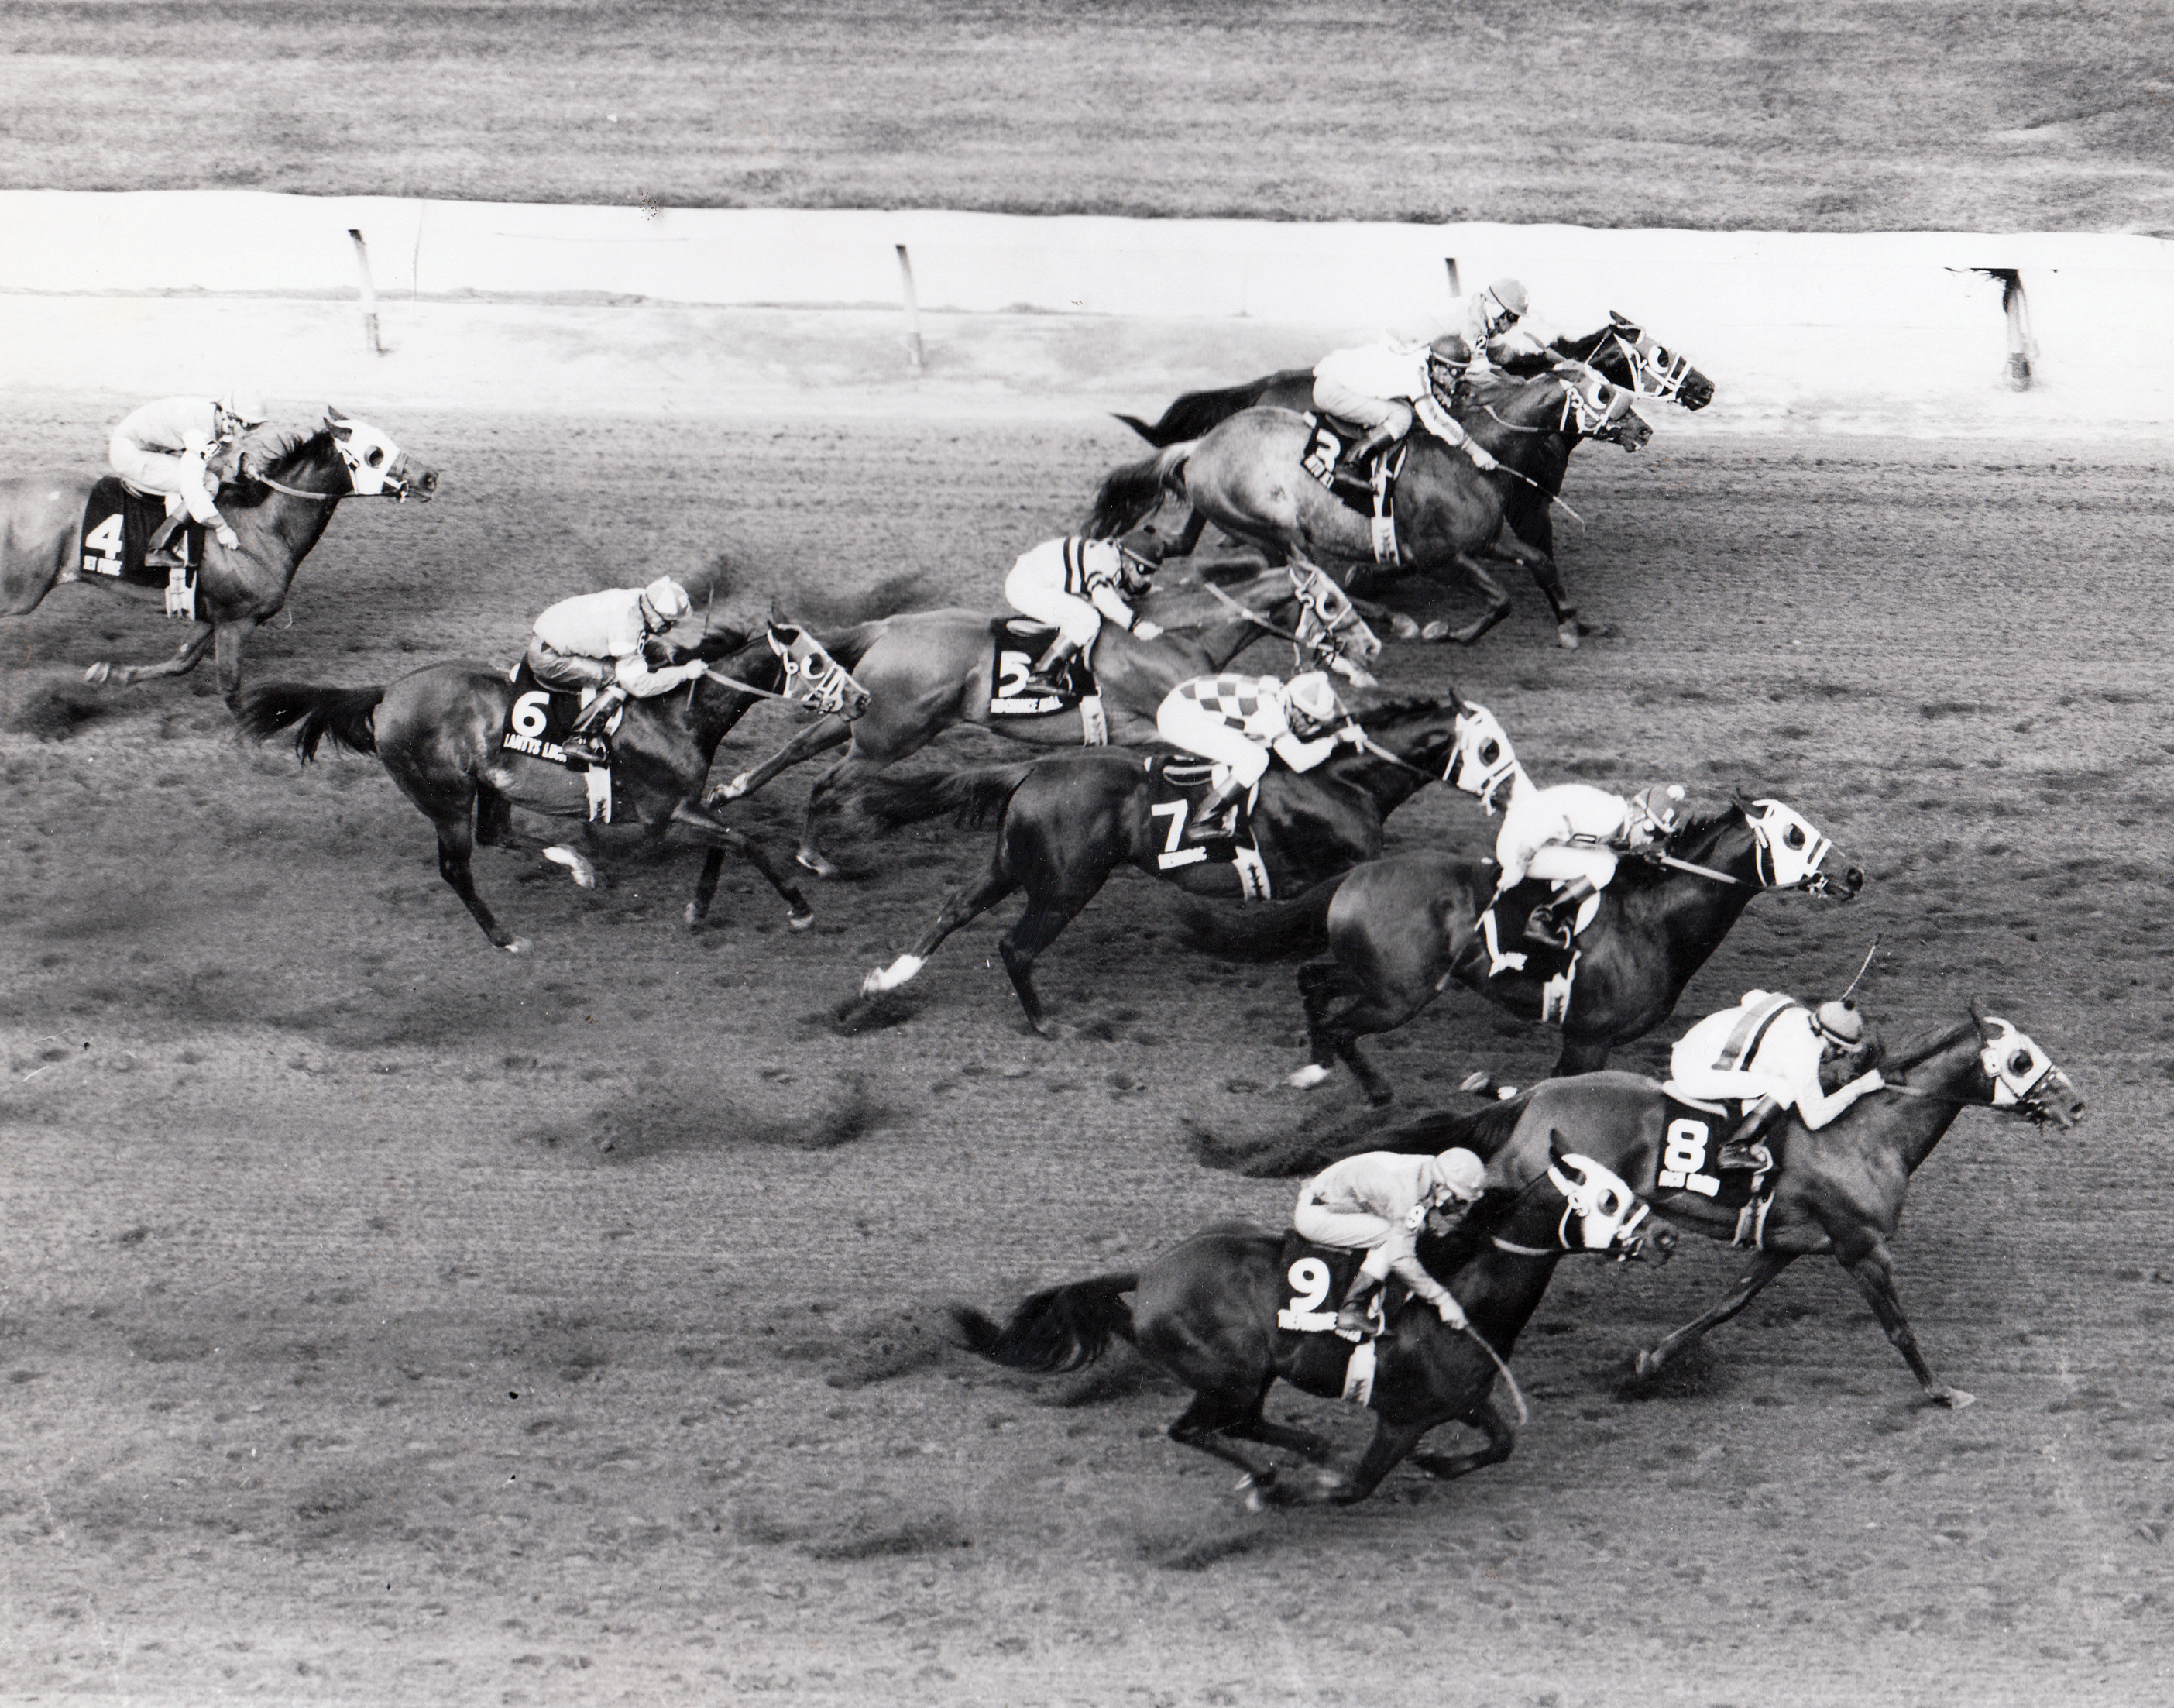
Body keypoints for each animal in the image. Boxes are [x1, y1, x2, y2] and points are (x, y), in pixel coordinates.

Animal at [0, 406, 437, 703]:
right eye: (376, 453)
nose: (430, 477)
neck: (262, 525)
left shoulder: (216, 613)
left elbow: (180, 662)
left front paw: (111, 673)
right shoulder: (237, 620)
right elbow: (230, 687)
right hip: (22, 592)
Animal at [242, 621, 869, 951]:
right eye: (815, 662)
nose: (862, 699)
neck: (677, 711)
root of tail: (386, 693)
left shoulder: (685, 805)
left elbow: (726, 842)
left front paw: (696, 911)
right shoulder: (662, 813)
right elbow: (744, 841)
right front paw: (799, 908)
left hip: (490, 786)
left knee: (497, 835)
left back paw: (580, 866)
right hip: (445, 797)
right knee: (457, 868)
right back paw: (505, 937)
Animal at [952, 1139, 1661, 1495]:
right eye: (1608, 1198)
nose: (1665, 1237)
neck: (1467, 1293)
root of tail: (1150, 1274)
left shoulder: (1462, 1399)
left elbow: (1503, 1442)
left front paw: (1437, 1466)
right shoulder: (1402, 1416)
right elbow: (1354, 1487)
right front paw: (1309, 1485)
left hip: (1247, 1374)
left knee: (1241, 1422)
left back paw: (1302, 1450)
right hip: (1228, 1373)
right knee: (1197, 1427)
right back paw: (1270, 1475)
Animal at [1374, 1004, 2086, 1407]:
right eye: (2019, 1058)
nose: (2076, 1104)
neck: (1863, 1132)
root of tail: (1533, 1096)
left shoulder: (1783, 1244)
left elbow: (1726, 1305)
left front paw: (1648, 1363)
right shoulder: (1860, 1245)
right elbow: (1897, 1325)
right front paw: (1940, 1392)